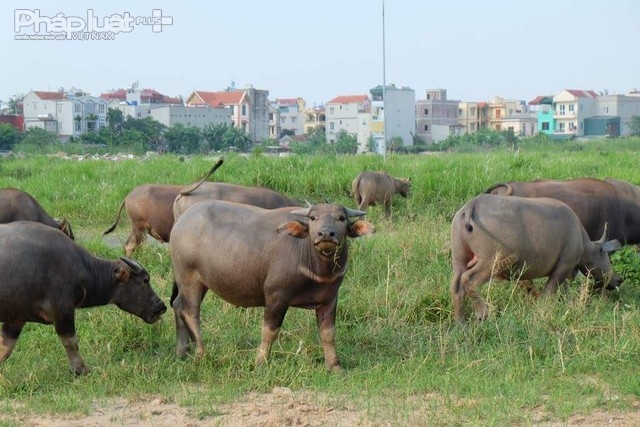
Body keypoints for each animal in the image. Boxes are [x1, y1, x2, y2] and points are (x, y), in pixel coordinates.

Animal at [0, 221, 165, 374]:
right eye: (145, 280)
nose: (161, 306)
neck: (80, 268)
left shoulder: (17, 318)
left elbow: (5, 348)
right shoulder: (62, 310)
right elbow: (71, 341)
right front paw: (80, 369)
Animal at [169, 201, 376, 372]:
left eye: (341, 218)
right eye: (313, 218)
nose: (325, 233)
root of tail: (181, 220)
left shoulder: (330, 299)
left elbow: (328, 334)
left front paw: (335, 366)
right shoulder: (276, 296)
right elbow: (270, 331)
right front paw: (260, 362)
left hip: (200, 282)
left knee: (178, 306)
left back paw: (181, 352)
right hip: (188, 278)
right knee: (191, 312)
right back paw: (201, 353)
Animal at [450, 196, 620, 322]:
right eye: (606, 256)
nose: (618, 280)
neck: (583, 242)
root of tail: (471, 206)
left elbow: (563, 290)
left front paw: (570, 306)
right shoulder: (564, 265)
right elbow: (549, 293)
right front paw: (542, 312)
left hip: (459, 255)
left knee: (457, 285)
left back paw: (461, 323)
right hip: (494, 260)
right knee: (469, 280)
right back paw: (482, 312)